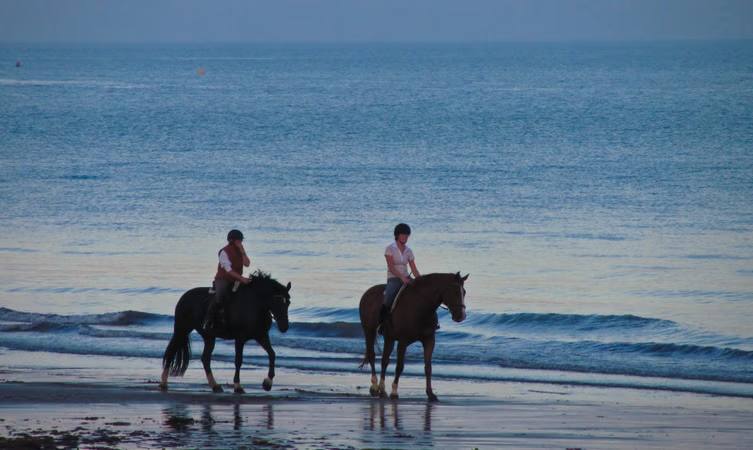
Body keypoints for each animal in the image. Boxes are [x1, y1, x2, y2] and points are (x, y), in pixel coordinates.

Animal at [159, 271, 291, 394]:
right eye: (277, 301)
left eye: (288, 303)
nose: (284, 327)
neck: (255, 305)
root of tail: (184, 297)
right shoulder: (240, 338)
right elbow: (238, 360)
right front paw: (238, 386)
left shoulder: (261, 336)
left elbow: (272, 354)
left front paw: (267, 383)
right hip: (182, 329)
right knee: (171, 352)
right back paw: (163, 383)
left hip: (208, 336)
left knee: (205, 358)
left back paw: (215, 385)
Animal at [359, 272, 468, 402]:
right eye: (455, 292)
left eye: (464, 292)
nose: (461, 316)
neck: (422, 306)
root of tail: (367, 293)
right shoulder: (403, 342)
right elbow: (399, 366)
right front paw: (394, 392)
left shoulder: (429, 340)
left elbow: (428, 367)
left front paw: (430, 393)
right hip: (368, 331)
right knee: (372, 356)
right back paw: (375, 386)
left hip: (389, 338)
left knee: (384, 360)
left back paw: (381, 389)